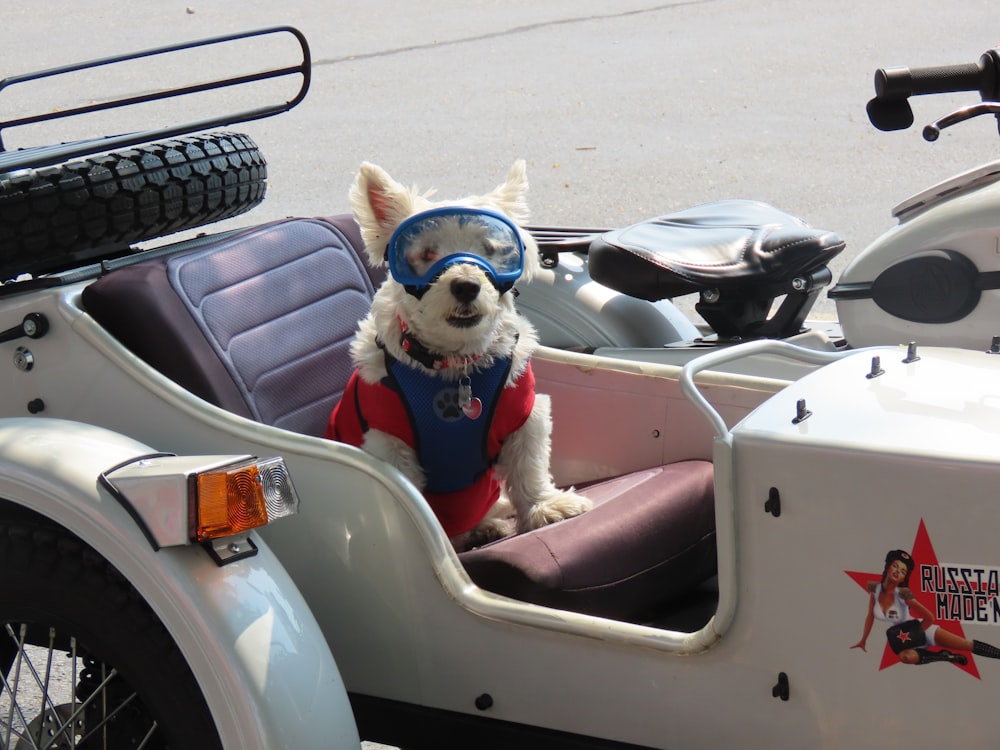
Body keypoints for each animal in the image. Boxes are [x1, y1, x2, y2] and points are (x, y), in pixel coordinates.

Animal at [328, 160, 588, 548]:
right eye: (425, 253)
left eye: (491, 248)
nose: (466, 285)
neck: (454, 363)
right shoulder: (390, 442)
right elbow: (412, 507)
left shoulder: (525, 413)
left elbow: (529, 467)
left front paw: (547, 507)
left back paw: (486, 525)